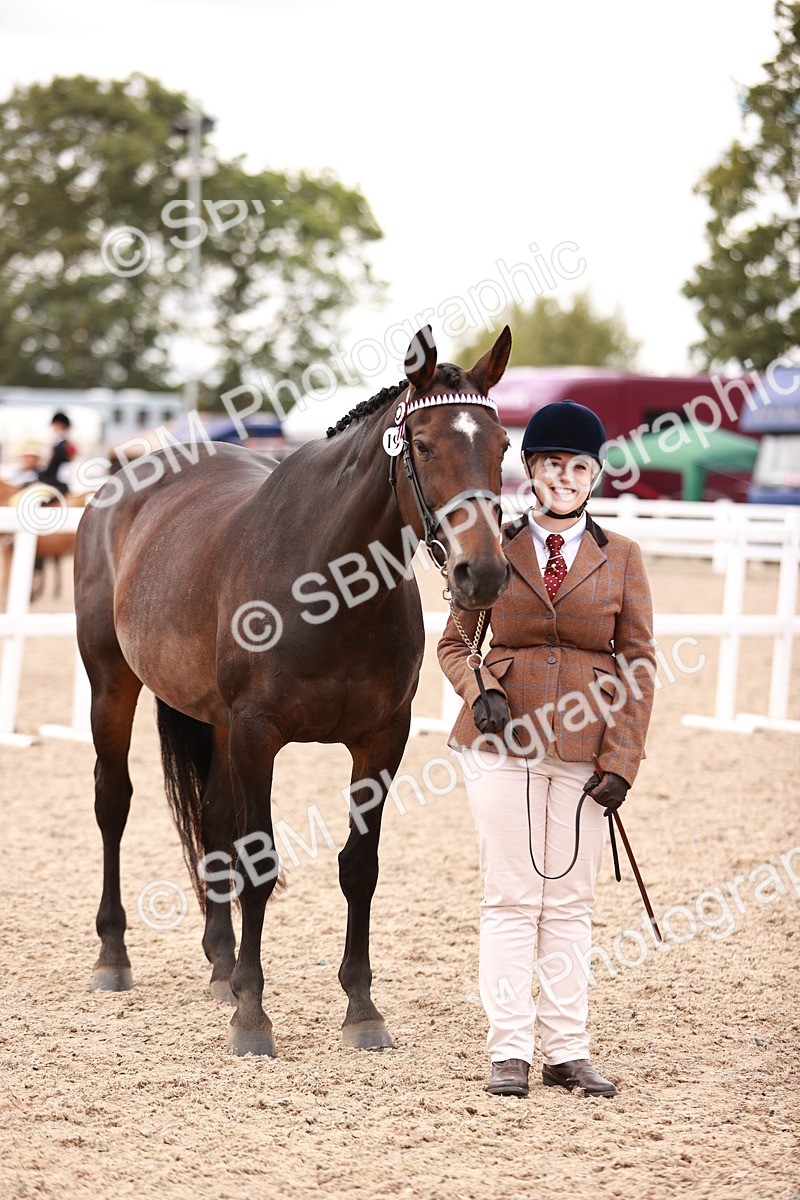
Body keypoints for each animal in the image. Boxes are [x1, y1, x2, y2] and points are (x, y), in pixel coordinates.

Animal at [74, 325, 512, 1056]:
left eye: (503, 445)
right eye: (424, 446)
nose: (483, 573)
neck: (329, 584)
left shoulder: (380, 740)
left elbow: (359, 866)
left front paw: (361, 1008)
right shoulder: (258, 734)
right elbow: (259, 863)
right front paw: (253, 1016)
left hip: (216, 722)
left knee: (214, 819)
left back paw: (221, 965)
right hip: (113, 686)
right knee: (113, 803)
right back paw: (113, 956)